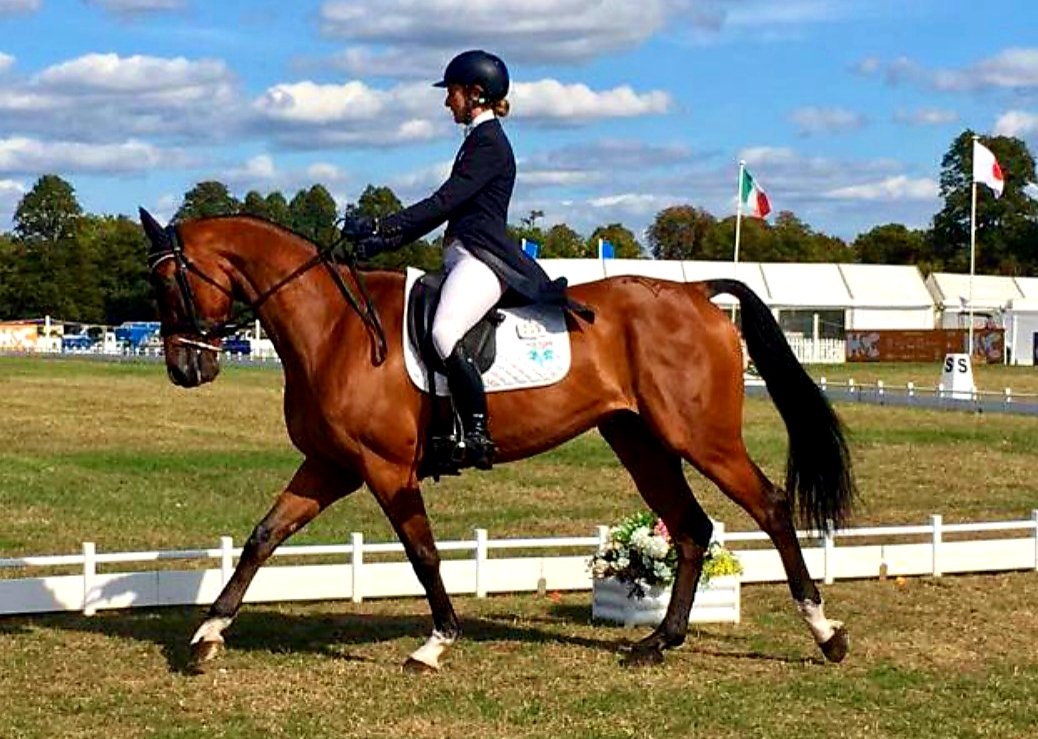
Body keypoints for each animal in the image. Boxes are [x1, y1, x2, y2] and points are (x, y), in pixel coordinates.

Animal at [139, 209, 855, 672]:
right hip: (640, 441)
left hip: (701, 437)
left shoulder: (385, 468)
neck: (333, 326)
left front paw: (436, 643)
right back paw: (658, 642)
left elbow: (422, 552)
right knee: (690, 528)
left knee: (768, 507)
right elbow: (263, 535)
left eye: (170, 281)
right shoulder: (329, 465)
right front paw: (207, 635)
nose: (185, 369)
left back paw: (825, 634)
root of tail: (696, 292)